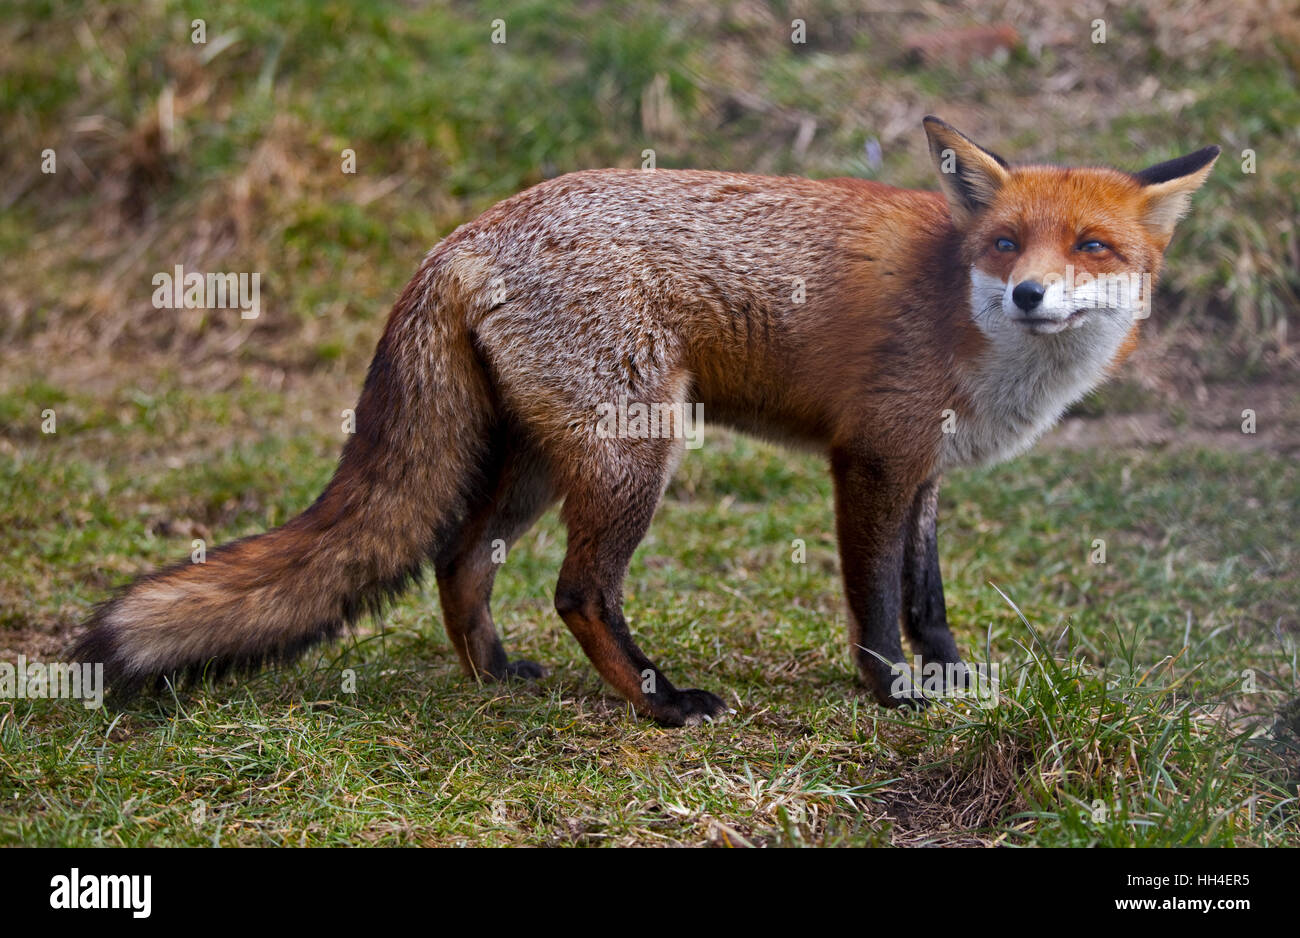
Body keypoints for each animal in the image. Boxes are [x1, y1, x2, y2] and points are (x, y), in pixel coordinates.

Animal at [73, 118, 1219, 726]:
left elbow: (928, 596)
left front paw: (950, 673)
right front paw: (893, 693)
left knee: (459, 558)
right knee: (578, 589)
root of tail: (464, 236)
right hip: (637, 453)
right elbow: (877, 602)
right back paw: (662, 700)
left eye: (1091, 246)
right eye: (1005, 243)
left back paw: (494, 675)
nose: (1028, 294)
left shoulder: (925, 470)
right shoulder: (870, 461)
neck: (967, 319)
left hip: (546, 462)